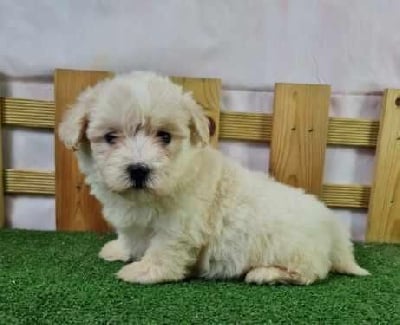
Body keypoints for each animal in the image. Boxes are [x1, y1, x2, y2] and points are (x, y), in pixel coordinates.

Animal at [58, 71, 368, 284]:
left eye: (165, 136)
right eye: (110, 137)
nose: (138, 168)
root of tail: (334, 228)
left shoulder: (179, 225)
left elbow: (163, 250)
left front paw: (144, 270)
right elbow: (129, 236)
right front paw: (119, 249)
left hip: (294, 248)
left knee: (310, 273)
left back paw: (265, 274)